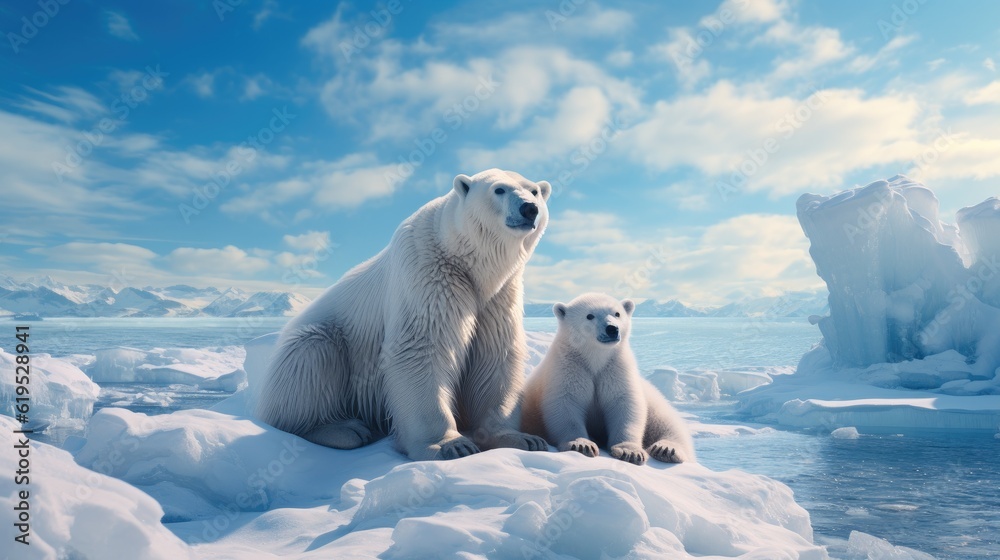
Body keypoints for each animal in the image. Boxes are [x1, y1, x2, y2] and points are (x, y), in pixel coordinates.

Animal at [258, 168, 552, 462]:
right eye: (499, 189)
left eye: (534, 191)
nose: (529, 209)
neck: (465, 260)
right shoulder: (428, 273)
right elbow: (422, 347)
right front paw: (450, 445)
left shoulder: (499, 295)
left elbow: (495, 355)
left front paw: (522, 439)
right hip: (316, 343)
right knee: (312, 357)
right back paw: (346, 430)